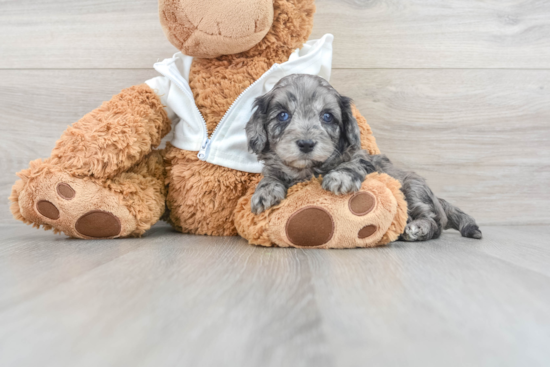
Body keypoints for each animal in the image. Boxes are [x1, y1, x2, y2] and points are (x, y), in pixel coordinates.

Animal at [246, 74, 484, 242]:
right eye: (283, 115)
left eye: (327, 116)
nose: (306, 144)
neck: (307, 170)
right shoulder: (276, 168)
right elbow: (270, 177)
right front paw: (265, 193)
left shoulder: (363, 157)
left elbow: (352, 164)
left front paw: (340, 177)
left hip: (413, 188)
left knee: (433, 221)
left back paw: (418, 228)